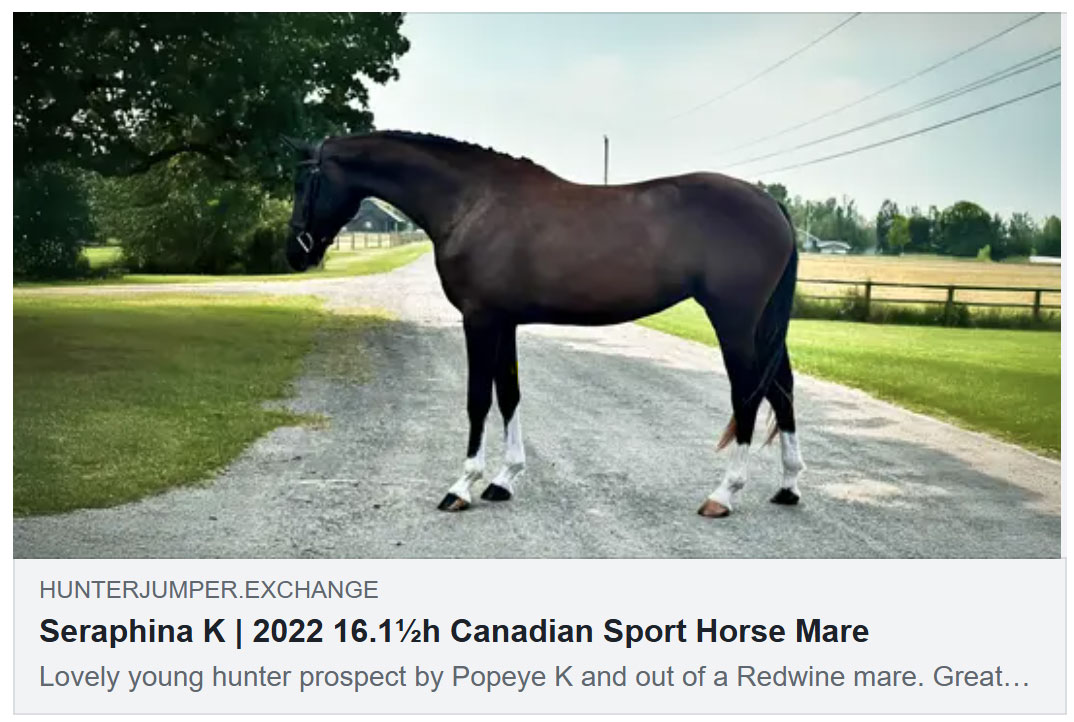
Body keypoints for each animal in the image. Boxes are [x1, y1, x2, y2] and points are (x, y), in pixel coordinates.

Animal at [283, 131, 805, 517]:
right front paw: (503, 479)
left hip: (734, 322)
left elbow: (478, 400)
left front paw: (462, 486)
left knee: (748, 394)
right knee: (782, 387)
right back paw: (788, 486)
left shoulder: (479, 320)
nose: (294, 253)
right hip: (762, 325)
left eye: (302, 184)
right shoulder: (504, 322)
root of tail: (769, 203)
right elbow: (509, 395)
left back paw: (724, 493)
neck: (472, 202)